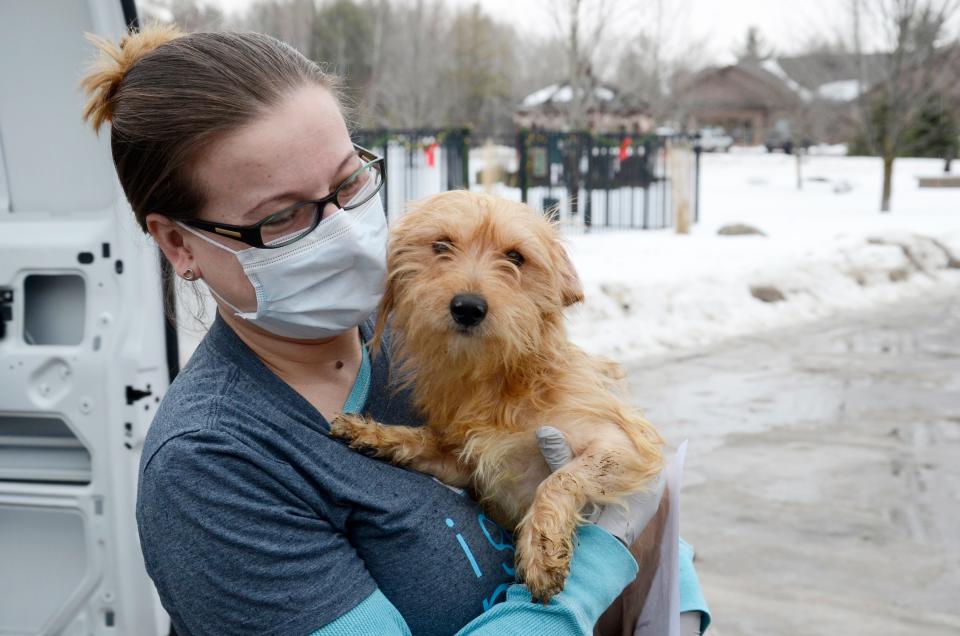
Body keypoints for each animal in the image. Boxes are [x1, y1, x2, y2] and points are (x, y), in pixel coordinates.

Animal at [334, 189, 664, 600]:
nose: (468, 307)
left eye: (515, 257)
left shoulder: (622, 445)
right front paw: (373, 433)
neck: (497, 381)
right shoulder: (463, 464)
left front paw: (540, 547)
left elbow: (559, 480)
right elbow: (423, 441)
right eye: (441, 246)